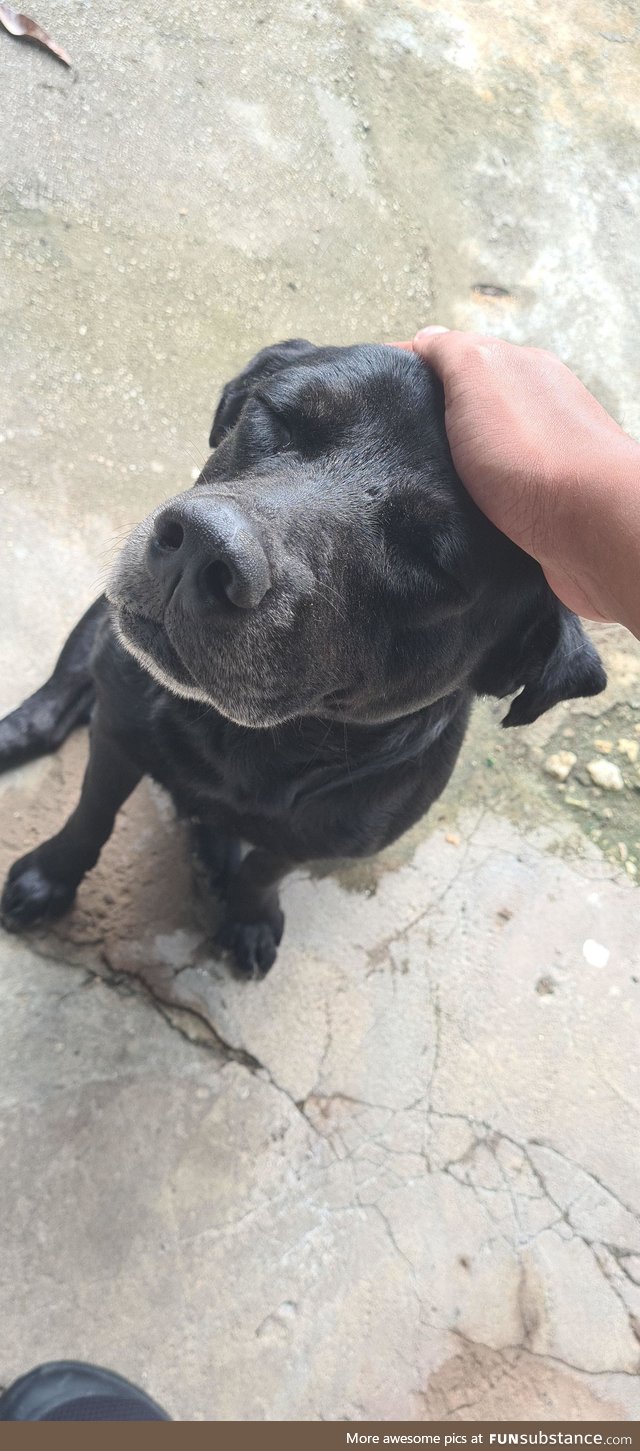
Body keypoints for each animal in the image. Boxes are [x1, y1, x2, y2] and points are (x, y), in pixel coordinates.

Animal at [0, 340, 603, 975]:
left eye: (431, 559)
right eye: (279, 417)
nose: (204, 548)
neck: (235, 741)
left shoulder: (323, 834)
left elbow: (267, 867)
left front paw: (248, 913)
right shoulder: (117, 731)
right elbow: (91, 813)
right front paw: (52, 875)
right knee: (56, 702)